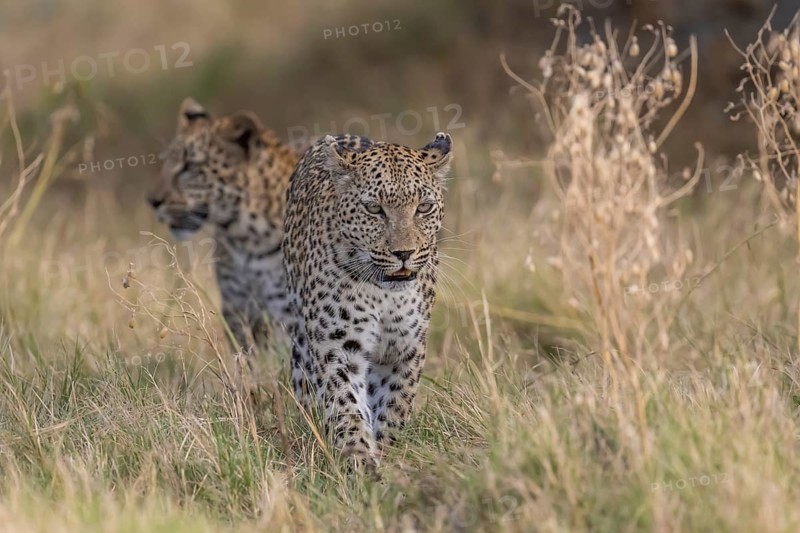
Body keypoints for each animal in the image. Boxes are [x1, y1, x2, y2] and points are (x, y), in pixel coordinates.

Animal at [282, 131, 453, 469]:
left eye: (424, 207)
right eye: (374, 209)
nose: (404, 253)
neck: (384, 294)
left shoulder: (406, 349)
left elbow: (395, 405)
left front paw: (387, 455)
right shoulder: (338, 347)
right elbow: (345, 406)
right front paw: (359, 462)